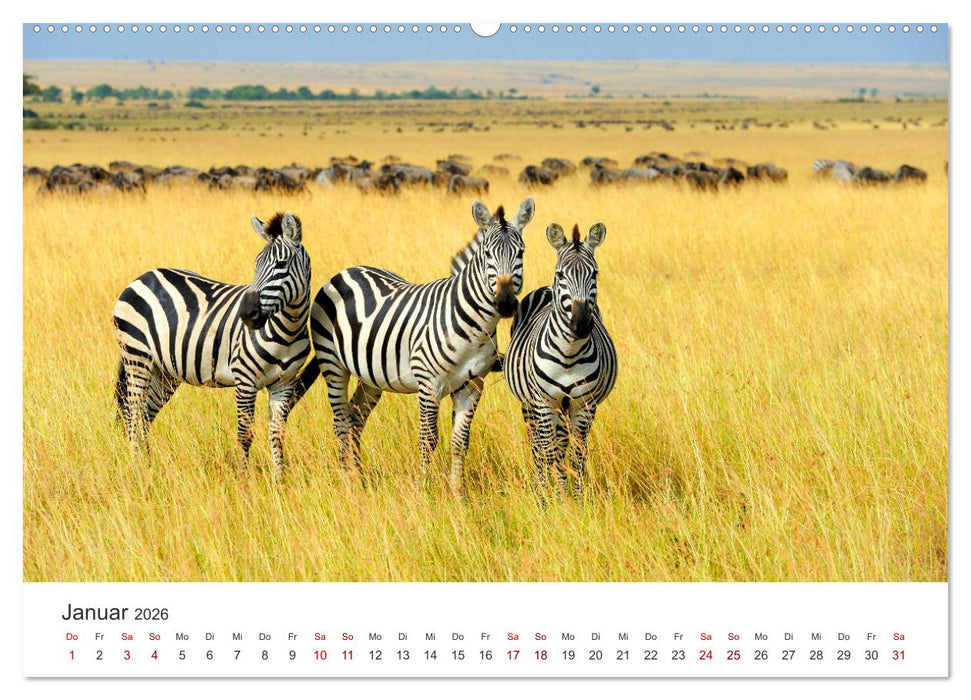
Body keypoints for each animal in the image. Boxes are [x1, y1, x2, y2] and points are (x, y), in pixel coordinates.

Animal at [112, 212, 312, 479]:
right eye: (256, 264)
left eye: (281, 264)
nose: (247, 314)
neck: (287, 330)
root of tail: (143, 276)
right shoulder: (245, 379)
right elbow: (244, 435)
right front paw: (243, 482)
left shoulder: (284, 383)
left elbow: (277, 435)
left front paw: (279, 482)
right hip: (137, 358)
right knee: (132, 415)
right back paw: (137, 471)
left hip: (163, 372)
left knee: (144, 416)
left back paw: (149, 467)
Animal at [295, 198, 534, 496]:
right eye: (487, 254)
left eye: (521, 253)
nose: (505, 303)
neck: (475, 328)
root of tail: (347, 271)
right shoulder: (429, 385)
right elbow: (428, 440)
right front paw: (424, 491)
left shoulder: (472, 386)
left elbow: (460, 442)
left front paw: (458, 494)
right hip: (333, 365)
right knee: (340, 421)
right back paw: (347, 481)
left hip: (371, 376)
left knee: (355, 418)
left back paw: (358, 479)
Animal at [503, 222, 618, 497]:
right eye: (561, 275)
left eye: (595, 274)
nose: (581, 324)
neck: (569, 353)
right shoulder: (543, 402)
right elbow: (547, 452)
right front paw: (549, 499)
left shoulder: (584, 404)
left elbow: (576, 455)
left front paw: (575, 497)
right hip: (530, 405)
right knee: (537, 445)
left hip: (566, 408)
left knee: (563, 444)